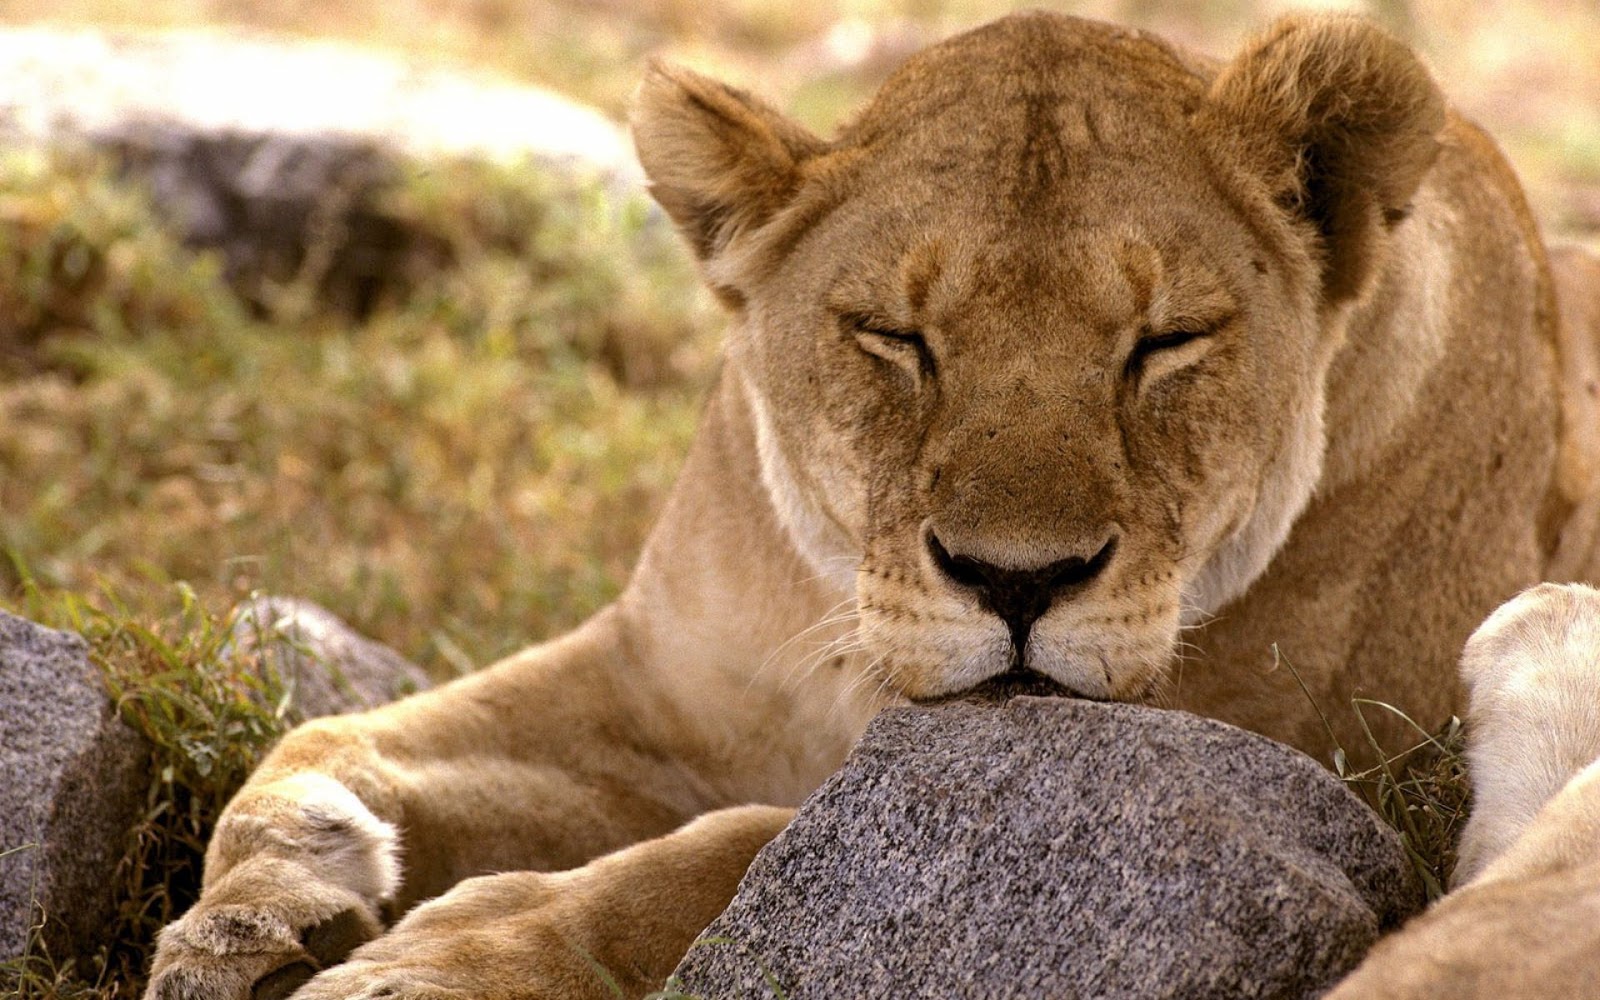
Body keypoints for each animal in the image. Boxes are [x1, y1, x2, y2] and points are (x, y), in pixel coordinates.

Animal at [143, 11, 1600, 999]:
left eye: (1165, 342)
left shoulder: (1289, 779)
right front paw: (265, 906)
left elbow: (735, 850)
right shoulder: (654, 686)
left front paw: (458, 952)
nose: (1018, 580)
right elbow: (329, 741)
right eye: (896, 338)